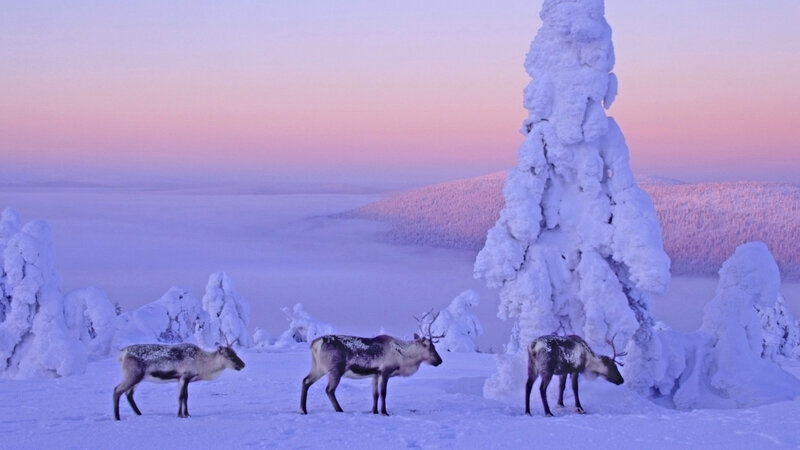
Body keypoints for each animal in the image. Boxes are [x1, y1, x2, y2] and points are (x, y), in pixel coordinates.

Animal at [113, 343, 245, 420]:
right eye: (228, 356)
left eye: (235, 353)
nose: (243, 364)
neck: (203, 363)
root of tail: (123, 353)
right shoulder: (184, 377)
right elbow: (181, 396)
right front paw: (180, 415)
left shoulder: (184, 379)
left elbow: (185, 397)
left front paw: (187, 414)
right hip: (132, 376)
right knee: (117, 390)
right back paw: (117, 417)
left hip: (138, 379)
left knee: (129, 394)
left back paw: (139, 413)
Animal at [299, 311, 444, 416]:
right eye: (431, 347)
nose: (440, 361)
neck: (403, 358)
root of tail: (315, 343)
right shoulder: (385, 371)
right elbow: (383, 393)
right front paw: (384, 412)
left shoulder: (375, 374)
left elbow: (375, 394)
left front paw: (374, 411)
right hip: (335, 369)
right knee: (329, 390)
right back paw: (339, 410)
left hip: (318, 367)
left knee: (305, 381)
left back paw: (303, 410)